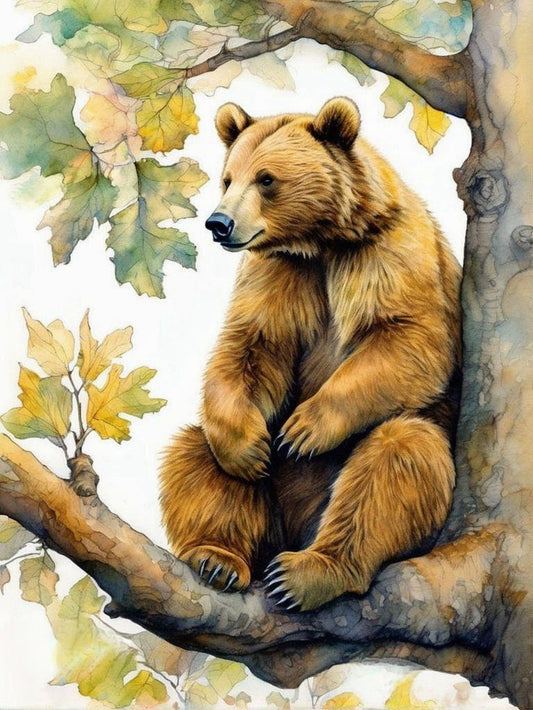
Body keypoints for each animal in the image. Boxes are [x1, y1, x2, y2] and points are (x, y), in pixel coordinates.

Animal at [159, 97, 461, 612]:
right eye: (228, 178)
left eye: (266, 179)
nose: (219, 224)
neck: (321, 241)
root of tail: (296, 529)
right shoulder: (279, 274)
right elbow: (251, 347)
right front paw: (252, 450)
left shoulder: (387, 255)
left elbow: (409, 339)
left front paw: (303, 431)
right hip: (271, 504)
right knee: (197, 455)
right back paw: (218, 558)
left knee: (399, 458)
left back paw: (308, 571)